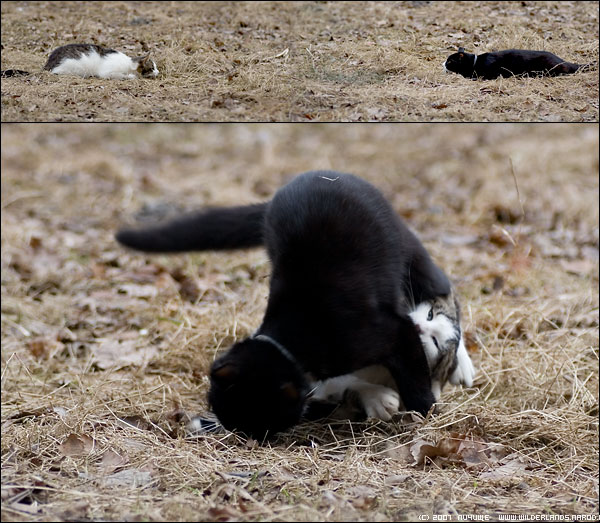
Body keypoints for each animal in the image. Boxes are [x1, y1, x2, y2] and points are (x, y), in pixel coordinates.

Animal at [117, 171, 474, 438]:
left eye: (261, 424)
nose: (241, 436)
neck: (290, 341)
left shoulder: (390, 332)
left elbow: (415, 373)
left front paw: (426, 410)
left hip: (409, 251)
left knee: (443, 292)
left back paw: (461, 363)